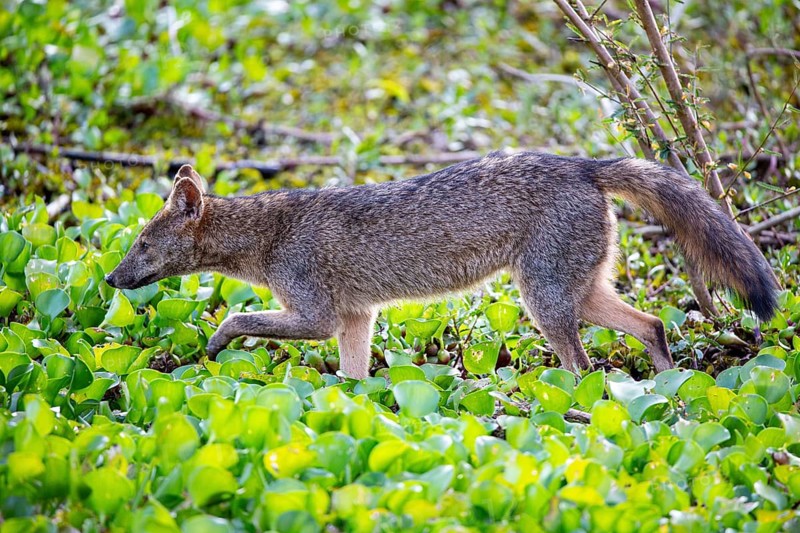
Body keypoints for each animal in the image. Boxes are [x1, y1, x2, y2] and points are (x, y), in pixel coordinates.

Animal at [106, 152, 779, 379]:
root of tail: (584, 162)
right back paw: (669, 395)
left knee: (585, 367)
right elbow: (352, 383)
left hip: (545, 303)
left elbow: (238, 316)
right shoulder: (356, 321)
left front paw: (214, 345)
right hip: (576, 294)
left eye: (139, 244)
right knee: (654, 326)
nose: (110, 278)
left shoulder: (319, 318)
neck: (270, 235)